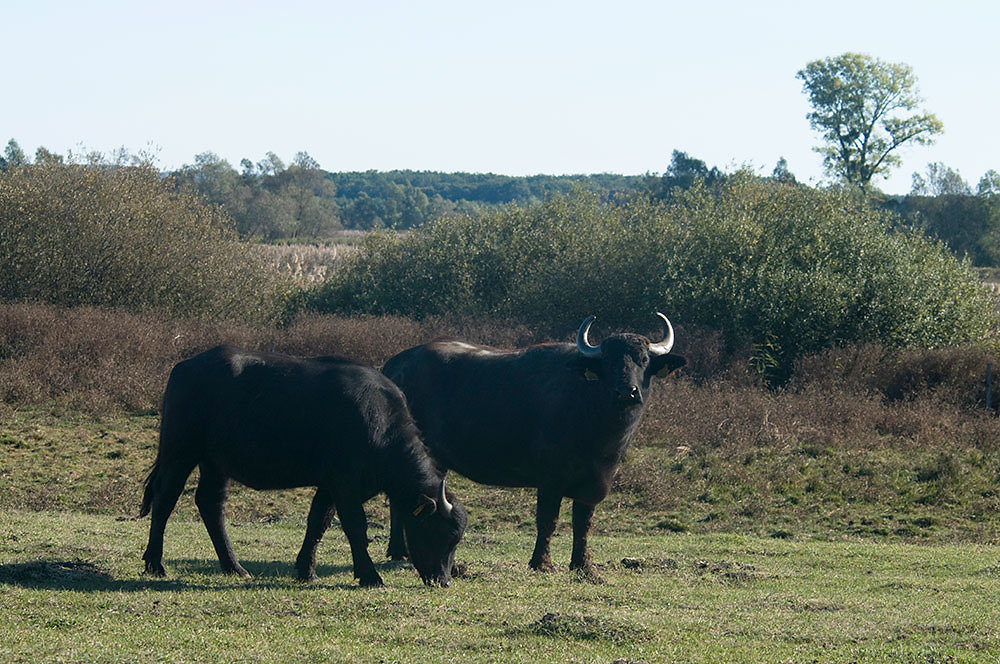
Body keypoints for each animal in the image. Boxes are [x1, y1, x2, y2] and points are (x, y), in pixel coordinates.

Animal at [141, 344, 468, 588]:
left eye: (456, 539)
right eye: (441, 533)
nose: (443, 580)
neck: (379, 430)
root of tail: (184, 367)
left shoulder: (329, 485)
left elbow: (317, 523)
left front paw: (306, 570)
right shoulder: (345, 486)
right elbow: (355, 527)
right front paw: (369, 575)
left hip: (215, 462)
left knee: (210, 504)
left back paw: (233, 566)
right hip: (179, 451)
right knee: (165, 499)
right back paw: (155, 563)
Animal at [378, 314, 684, 572]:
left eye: (643, 360)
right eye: (608, 362)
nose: (626, 392)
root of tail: (393, 366)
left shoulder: (594, 482)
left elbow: (583, 523)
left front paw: (582, 565)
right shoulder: (550, 479)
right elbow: (548, 520)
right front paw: (541, 563)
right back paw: (398, 551)